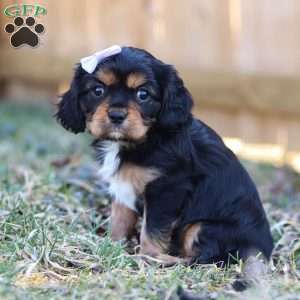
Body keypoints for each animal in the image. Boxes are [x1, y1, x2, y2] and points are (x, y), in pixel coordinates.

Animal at [56, 46, 274, 264]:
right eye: (98, 91)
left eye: (143, 94)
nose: (116, 115)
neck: (145, 139)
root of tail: (265, 251)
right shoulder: (123, 186)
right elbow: (120, 217)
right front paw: (112, 245)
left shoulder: (166, 189)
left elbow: (152, 229)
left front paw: (147, 257)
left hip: (204, 227)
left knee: (204, 258)